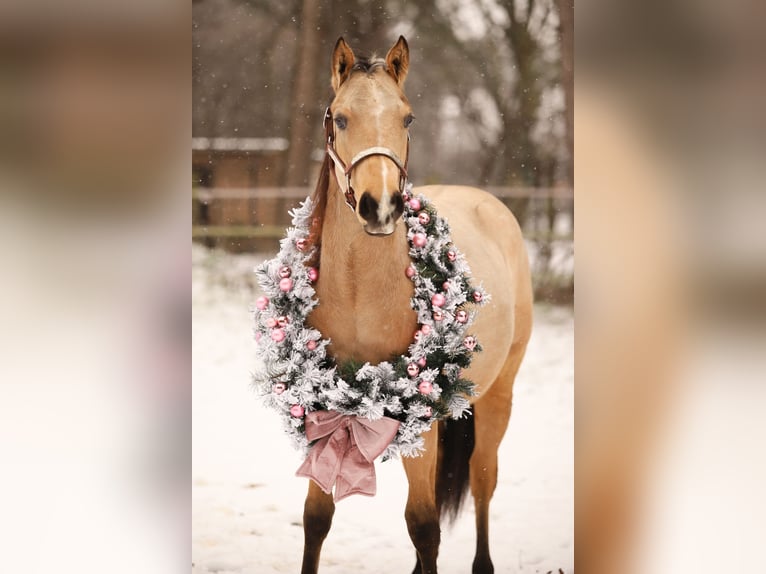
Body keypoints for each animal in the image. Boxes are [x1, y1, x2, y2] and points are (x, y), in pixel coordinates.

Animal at [300, 36, 533, 574]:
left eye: (406, 118)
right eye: (339, 117)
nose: (380, 206)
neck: (361, 295)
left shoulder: (417, 417)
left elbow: (424, 525)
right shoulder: (322, 406)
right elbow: (317, 518)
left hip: (496, 396)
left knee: (482, 479)